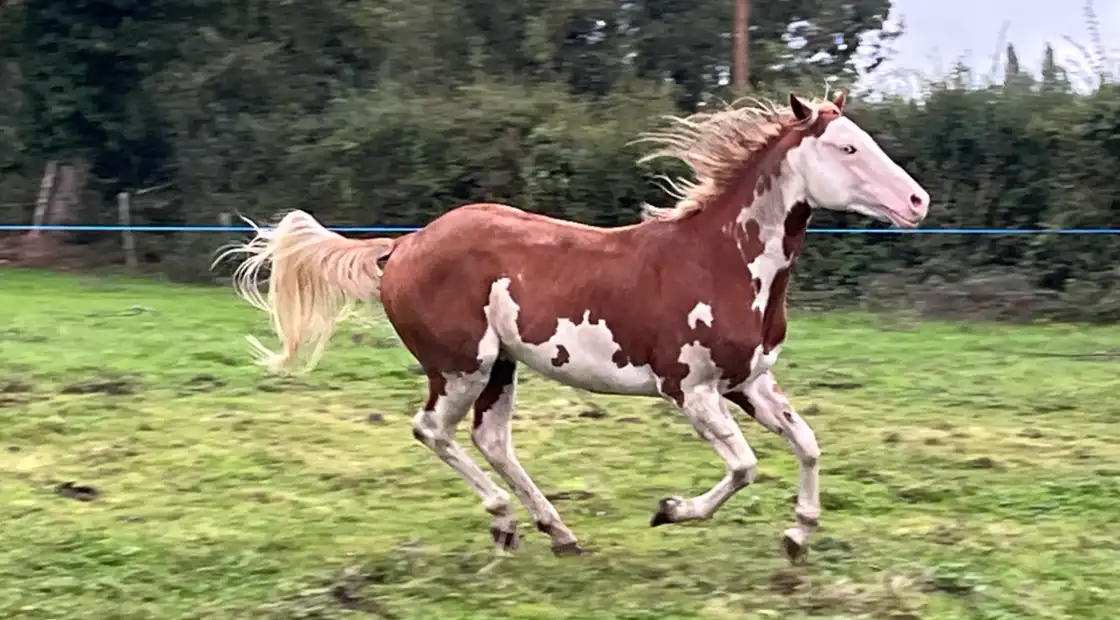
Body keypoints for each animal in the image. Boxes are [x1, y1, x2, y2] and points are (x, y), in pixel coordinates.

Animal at [217, 91, 929, 563]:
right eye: (847, 147)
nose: (917, 201)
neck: (721, 259)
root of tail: (404, 246)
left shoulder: (748, 383)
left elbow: (807, 445)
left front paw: (797, 534)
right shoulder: (691, 391)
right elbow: (746, 467)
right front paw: (669, 511)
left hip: (501, 368)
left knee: (492, 440)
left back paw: (557, 532)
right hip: (460, 366)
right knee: (433, 430)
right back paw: (506, 523)